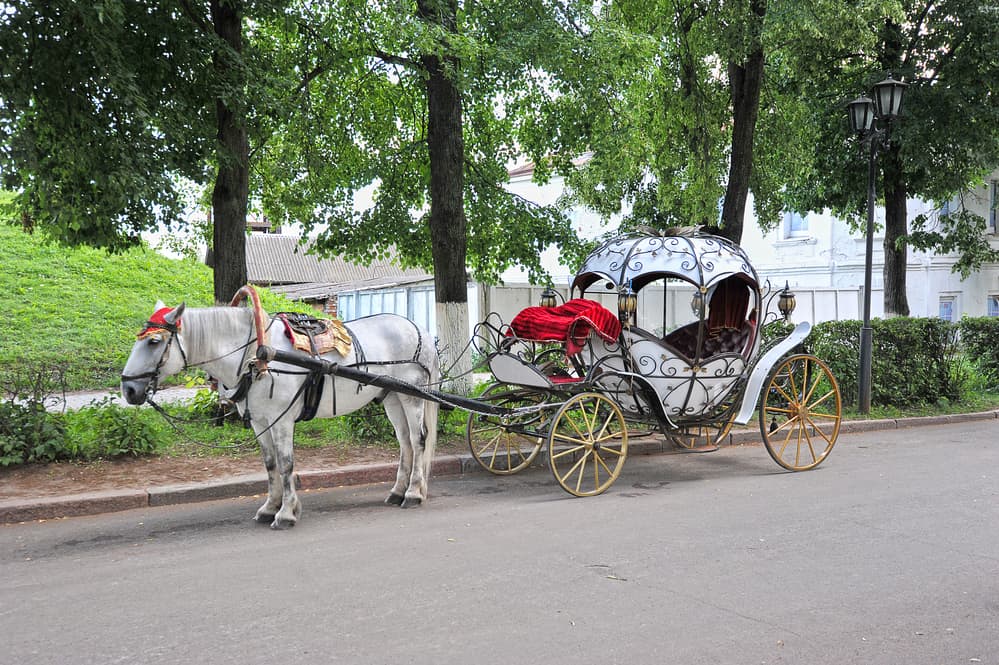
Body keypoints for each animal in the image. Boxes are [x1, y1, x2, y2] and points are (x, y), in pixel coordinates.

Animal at [120, 302, 438, 528]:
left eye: (153, 342)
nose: (128, 389)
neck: (257, 354)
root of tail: (419, 328)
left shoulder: (281, 420)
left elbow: (286, 464)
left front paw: (286, 513)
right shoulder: (260, 421)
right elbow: (271, 464)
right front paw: (269, 508)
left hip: (412, 396)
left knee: (418, 440)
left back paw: (413, 494)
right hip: (392, 397)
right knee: (405, 443)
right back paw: (398, 491)